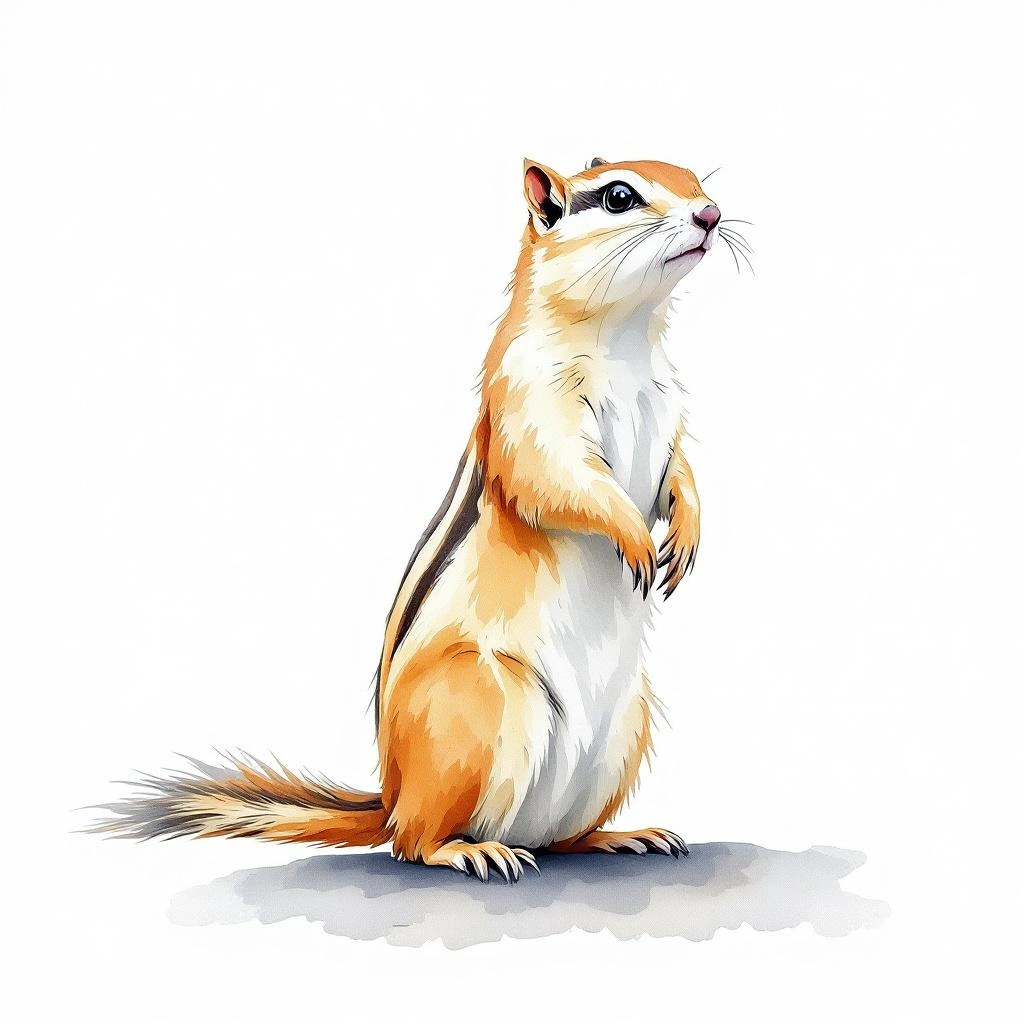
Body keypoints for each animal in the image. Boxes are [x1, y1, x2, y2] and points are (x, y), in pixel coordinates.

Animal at [95, 156, 723, 882]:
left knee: (557, 838)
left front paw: (687, 533)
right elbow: (559, 481)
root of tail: (391, 795)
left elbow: (679, 478)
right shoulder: (531, 411)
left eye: (695, 180)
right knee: (414, 843)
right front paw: (634, 536)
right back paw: (470, 848)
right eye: (620, 196)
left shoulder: (670, 415)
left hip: (626, 729)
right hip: (477, 702)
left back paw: (619, 836)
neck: (624, 340)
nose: (711, 215)